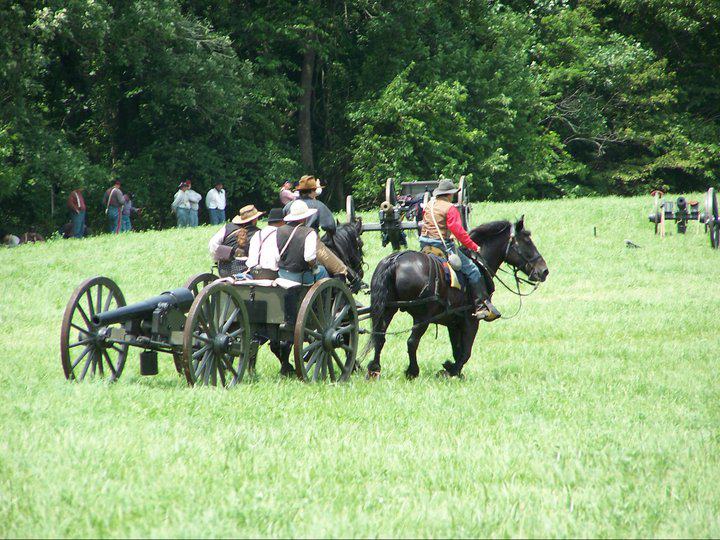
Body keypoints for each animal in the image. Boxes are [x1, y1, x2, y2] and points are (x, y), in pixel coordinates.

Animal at [368, 217, 548, 378]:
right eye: (527, 242)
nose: (544, 271)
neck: (479, 264)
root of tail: (395, 260)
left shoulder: (453, 321)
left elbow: (457, 350)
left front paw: (453, 370)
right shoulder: (471, 320)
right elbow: (465, 352)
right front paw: (451, 370)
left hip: (388, 309)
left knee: (379, 337)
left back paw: (374, 369)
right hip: (421, 317)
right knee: (412, 342)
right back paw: (412, 371)